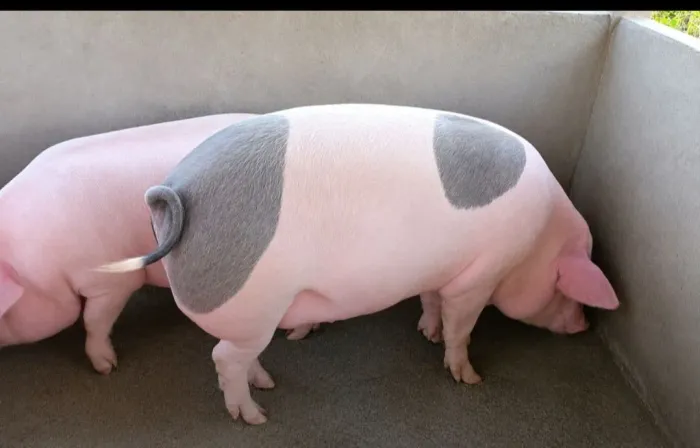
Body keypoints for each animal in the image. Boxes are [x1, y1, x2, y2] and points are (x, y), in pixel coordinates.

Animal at [97, 103, 619, 425]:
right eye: (567, 290)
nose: (585, 326)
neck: (541, 238)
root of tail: (174, 189)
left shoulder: (439, 269)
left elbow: (431, 302)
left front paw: (426, 333)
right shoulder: (480, 273)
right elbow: (461, 324)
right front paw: (470, 378)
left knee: (241, 356)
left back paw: (267, 383)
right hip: (254, 301)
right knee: (224, 357)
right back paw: (256, 416)